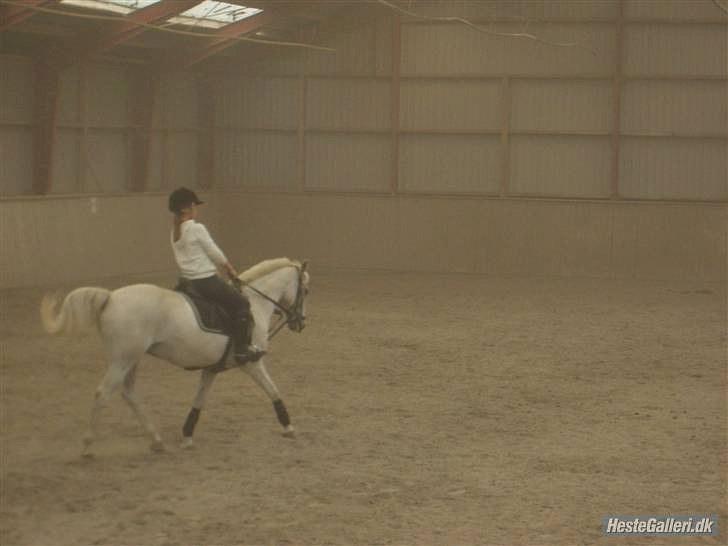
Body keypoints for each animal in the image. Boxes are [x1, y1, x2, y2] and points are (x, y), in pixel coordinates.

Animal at [40, 257, 309, 456]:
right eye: (305, 290)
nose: (300, 323)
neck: (255, 304)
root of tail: (111, 297)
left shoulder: (211, 368)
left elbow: (199, 401)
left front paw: (187, 435)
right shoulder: (251, 362)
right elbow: (273, 391)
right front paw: (289, 426)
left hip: (132, 359)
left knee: (129, 393)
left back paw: (157, 440)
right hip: (123, 359)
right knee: (103, 393)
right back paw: (87, 445)